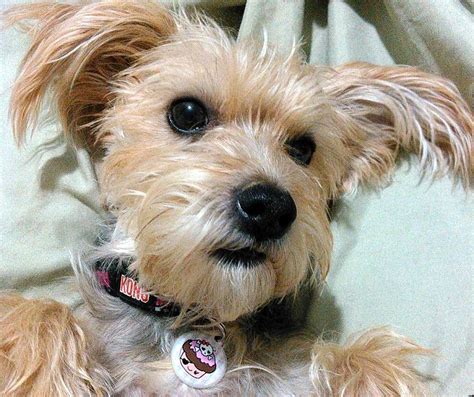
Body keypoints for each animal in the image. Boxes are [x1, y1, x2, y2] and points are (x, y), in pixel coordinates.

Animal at [0, 1, 474, 394]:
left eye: (304, 148)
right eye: (187, 113)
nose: (271, 209)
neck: (190, 315)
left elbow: (366, 362)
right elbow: (39, 313)